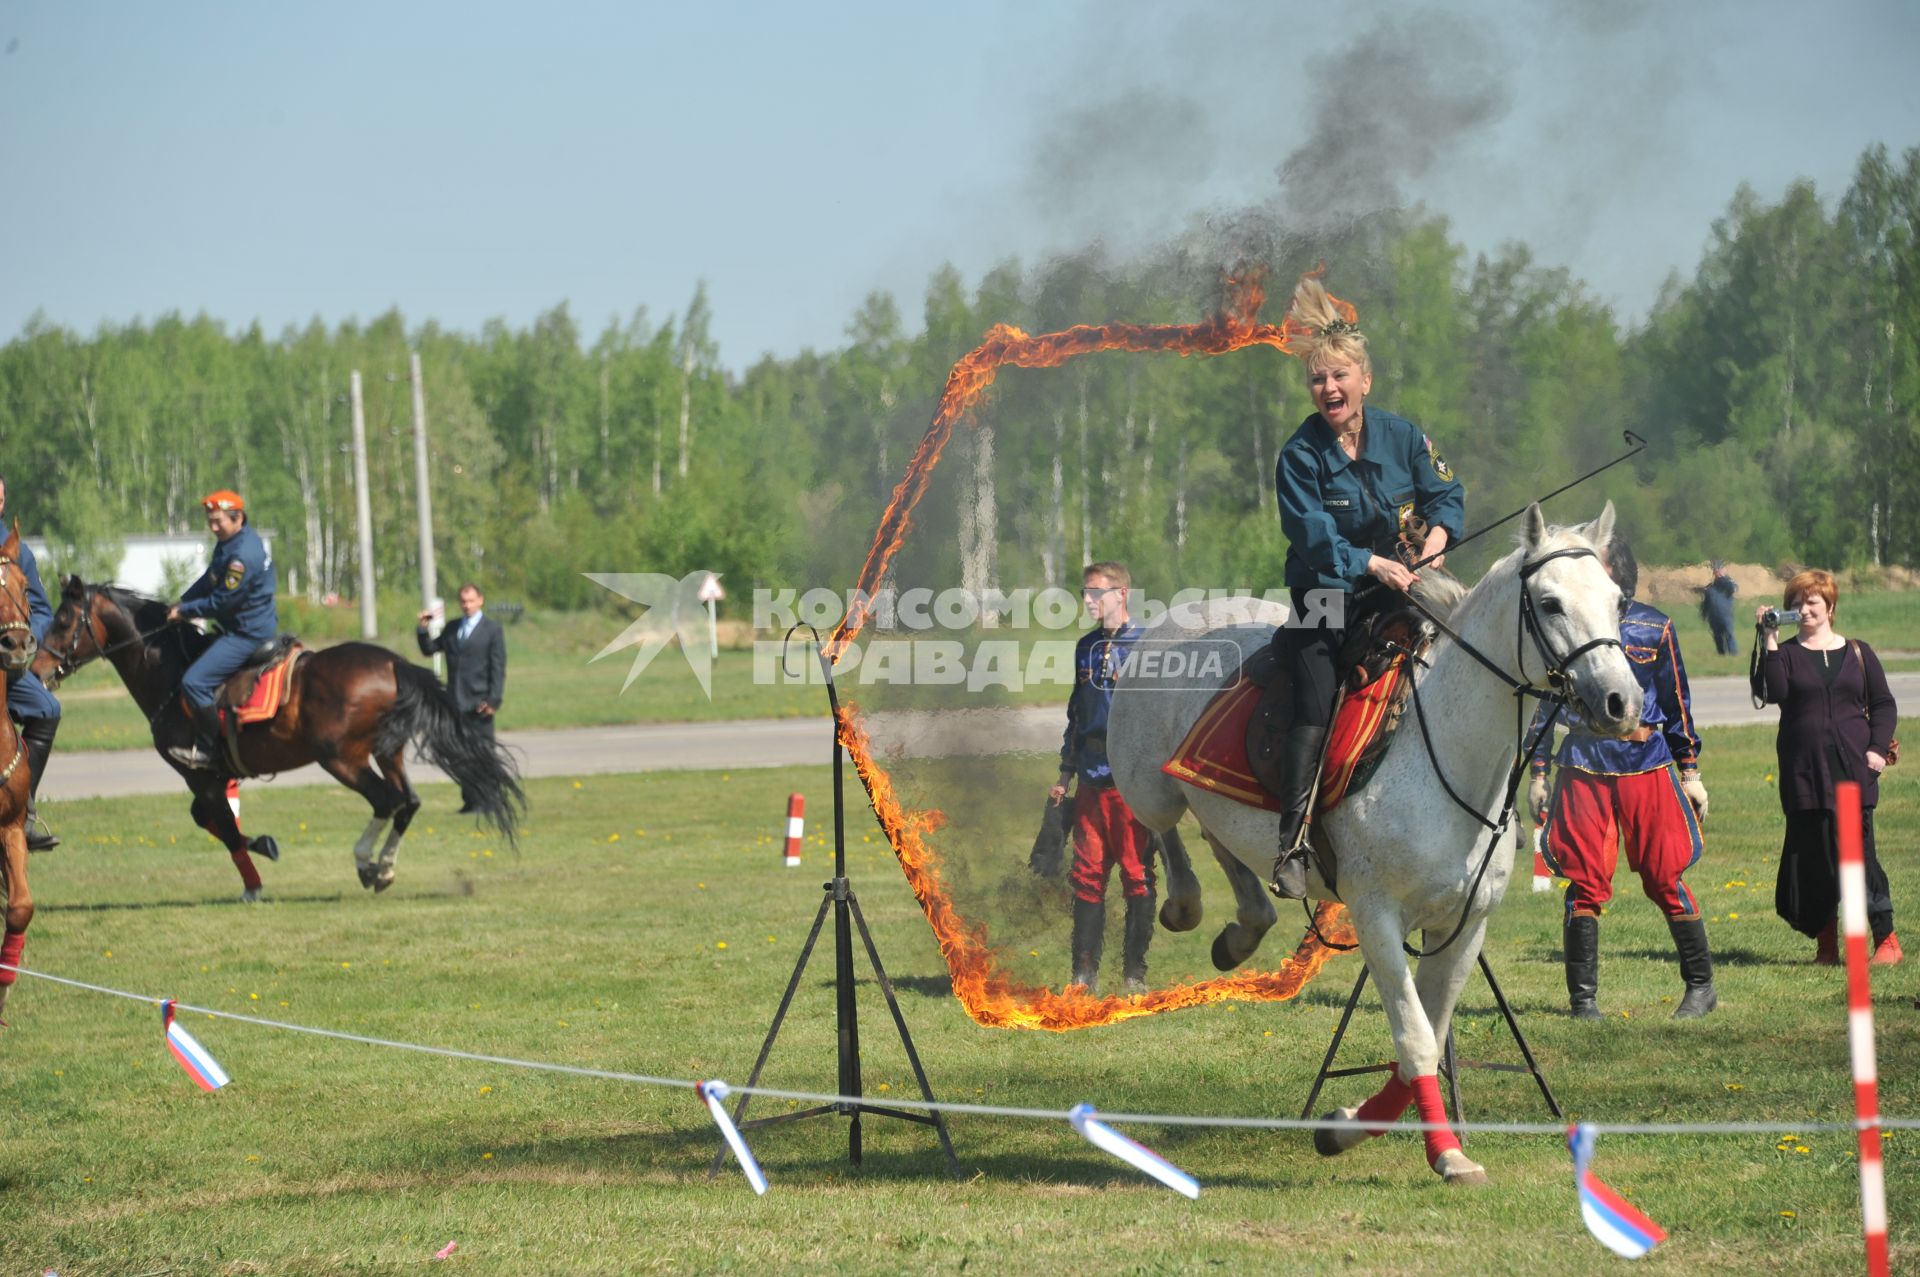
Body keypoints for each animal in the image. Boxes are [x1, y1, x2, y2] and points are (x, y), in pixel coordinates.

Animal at [31, 576, 526, 894]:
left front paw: (254, 877)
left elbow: (222, 826)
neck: (169, 669)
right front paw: (263, 849)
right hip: (388, 753)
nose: (36, 668)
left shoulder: (199, 775)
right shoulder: (212, 778)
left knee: (387, 800)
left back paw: (365, 862)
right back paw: (384, 868)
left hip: (341, 759)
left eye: (62, 620)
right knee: (408, 802)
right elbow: (212, 821)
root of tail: (392, 663)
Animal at [1113, 503, 1635, 1182]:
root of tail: (1166, 623)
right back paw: (1186, 904)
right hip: (1146, 783)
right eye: (1549, 603)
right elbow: (1415, 1040)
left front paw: (1345, 1128)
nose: (1622, 702)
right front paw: (1444, 1154)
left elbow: (1431, 1039)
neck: (1446, 750)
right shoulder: (1377, 917)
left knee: (1218, 837)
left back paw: (1244, 928)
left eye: (1618, 600)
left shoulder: (1464, 925)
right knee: (1164, 827)